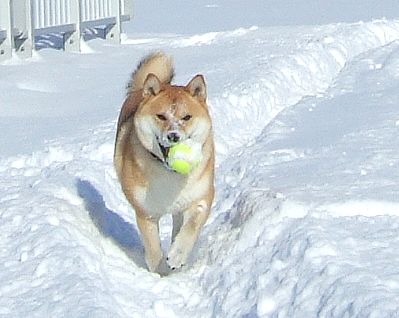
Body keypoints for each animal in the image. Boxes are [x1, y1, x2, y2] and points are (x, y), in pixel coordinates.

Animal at [114, 52, 216, 274]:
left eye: (186, 117)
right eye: (161, 116)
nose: (173, 136)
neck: (169, 175)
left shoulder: (202, 197)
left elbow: (190, 228)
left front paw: (177, 255)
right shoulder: (146, 213)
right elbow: (153, 249)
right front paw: (160, 270)